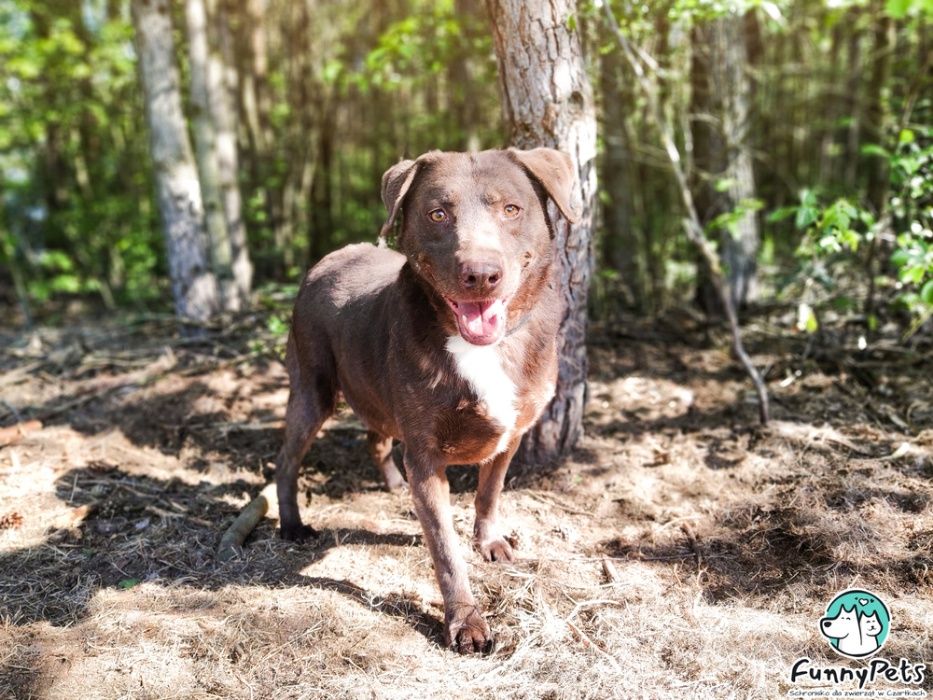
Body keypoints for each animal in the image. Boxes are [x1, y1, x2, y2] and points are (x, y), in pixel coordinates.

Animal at [276, 146, 580, 652]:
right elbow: (444, 547)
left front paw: (489, 542)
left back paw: (393, 485)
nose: (481, 274)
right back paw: (292, 524)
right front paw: (465, 622)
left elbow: (489, 493)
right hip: (312, 389)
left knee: (376, 438)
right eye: (438, 213)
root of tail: (330, 257)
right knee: (286, 458)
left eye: (511, 209)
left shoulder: (513, 432)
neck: (484, 348)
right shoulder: (425, 455)